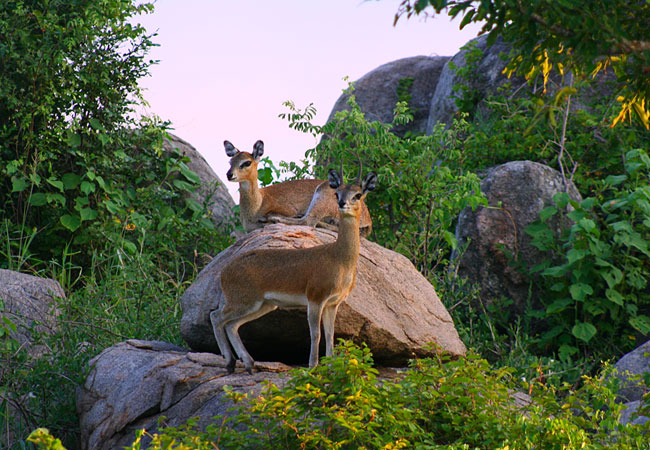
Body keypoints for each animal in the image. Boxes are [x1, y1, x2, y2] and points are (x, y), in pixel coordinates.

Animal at [210, 166, 378, 372]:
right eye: (337, 193)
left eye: (358, 194)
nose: (342, 203)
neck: (339, 258)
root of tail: (224, 272)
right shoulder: (315, 299)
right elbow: (316, 334)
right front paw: (313, 366)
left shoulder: (333, 303)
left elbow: (330, 335)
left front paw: (330, 365)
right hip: (244, 301)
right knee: (216, 317)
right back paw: (230, 362)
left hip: (263, 305)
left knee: (231, 325)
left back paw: (249, 364)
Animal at [223, 140, 370, 239]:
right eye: (230, 162)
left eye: (247, 162)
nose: (229, 174)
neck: (258, 203)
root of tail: (367, 218)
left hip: (321, 195)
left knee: (308, 221)